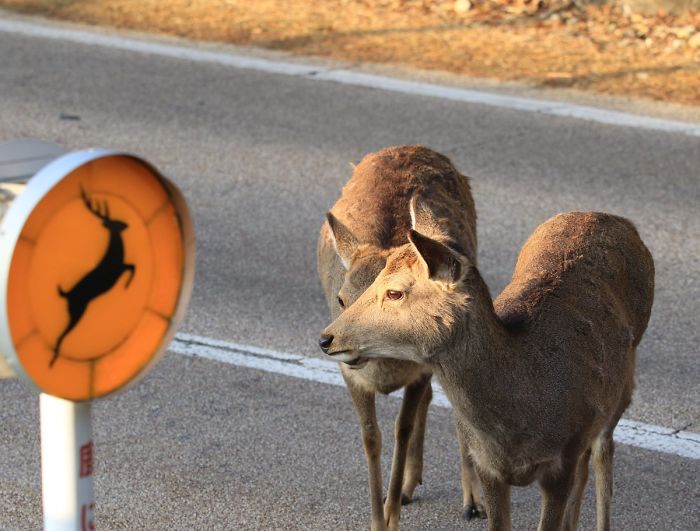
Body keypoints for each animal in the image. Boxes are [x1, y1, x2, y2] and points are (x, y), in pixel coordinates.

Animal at [51, 187, 135, 366]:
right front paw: (127, 286)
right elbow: (133, 268)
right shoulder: (117, 270)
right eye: (116, 223)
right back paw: (53, 359)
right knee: (62, 334)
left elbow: (133, 267)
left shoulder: (121, 267)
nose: (127, 224)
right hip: (77, 311)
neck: (116, 255)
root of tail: (66, 295)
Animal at [316, 145, 484, 531]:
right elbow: (371, 437)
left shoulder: (420, 369)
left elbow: (401, 430)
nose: (332, 343)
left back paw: (470, 500)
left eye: (390, 296)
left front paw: (390, 515)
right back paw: (410, 486)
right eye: (341, 299)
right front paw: (379, 516)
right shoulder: (351, 377)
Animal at [320, 209, 652, 531]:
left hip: (622, 384)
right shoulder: (487, 466)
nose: (326, 338)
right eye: (343, 296)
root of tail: (617, 221)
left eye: (394, 293)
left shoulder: (561, 460)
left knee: (602, 453)